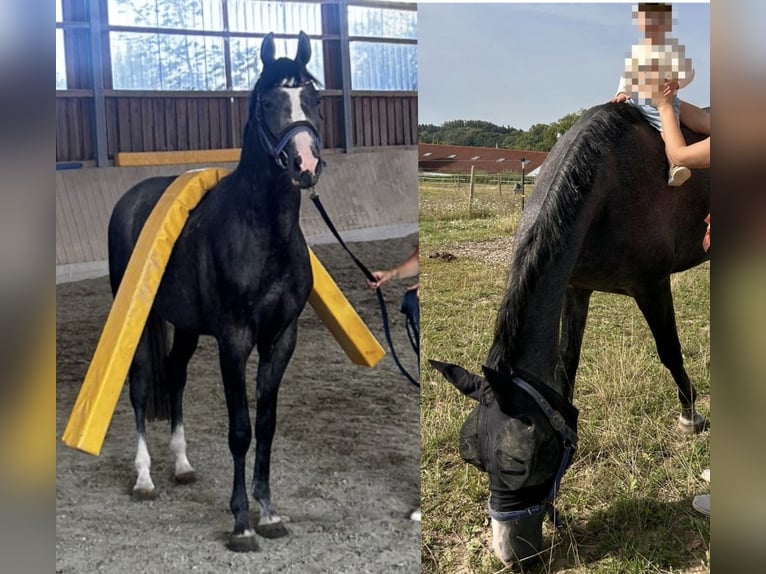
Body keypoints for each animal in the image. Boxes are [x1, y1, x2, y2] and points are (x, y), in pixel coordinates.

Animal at [107, 32, 323, 552]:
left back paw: (182, 464)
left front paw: (269, 513)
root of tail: (130, 199)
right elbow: (240, 430)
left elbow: (266, 425)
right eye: (268, 100)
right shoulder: (234, 341)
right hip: (139, 320)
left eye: (313, 97)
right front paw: (241, 522)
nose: (305, 163)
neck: (263, 233)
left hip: (186, 327)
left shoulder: (280, 339)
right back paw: (144, 478)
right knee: (140, 385)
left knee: (175, 374)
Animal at [430, 102, 710, 566]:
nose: (512, 555)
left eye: (528, 461)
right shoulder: (576, 289)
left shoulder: (652, 286)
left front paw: (690, 416)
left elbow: (669, 351)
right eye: (475, 461)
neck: (608, 183)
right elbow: (566, 366)